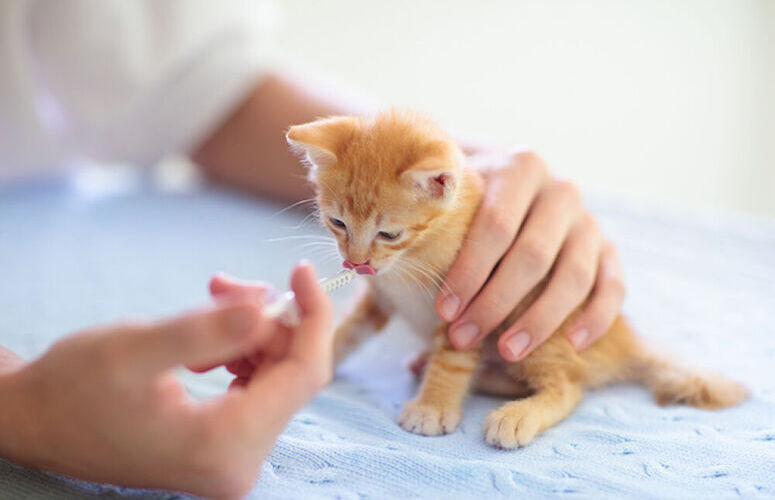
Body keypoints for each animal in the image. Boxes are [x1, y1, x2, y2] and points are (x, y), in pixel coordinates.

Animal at [284, 109, 744, 450]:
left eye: (389, 234)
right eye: (337, 223)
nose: (355, 263)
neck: (410, 260)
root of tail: (623, 339)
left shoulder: (468, 304)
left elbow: (452, 359)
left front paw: (433, 406)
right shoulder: (379, 295)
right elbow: (350, 328)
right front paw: (320, 354)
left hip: (532, 325)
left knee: (570, 387)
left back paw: (517, 414)